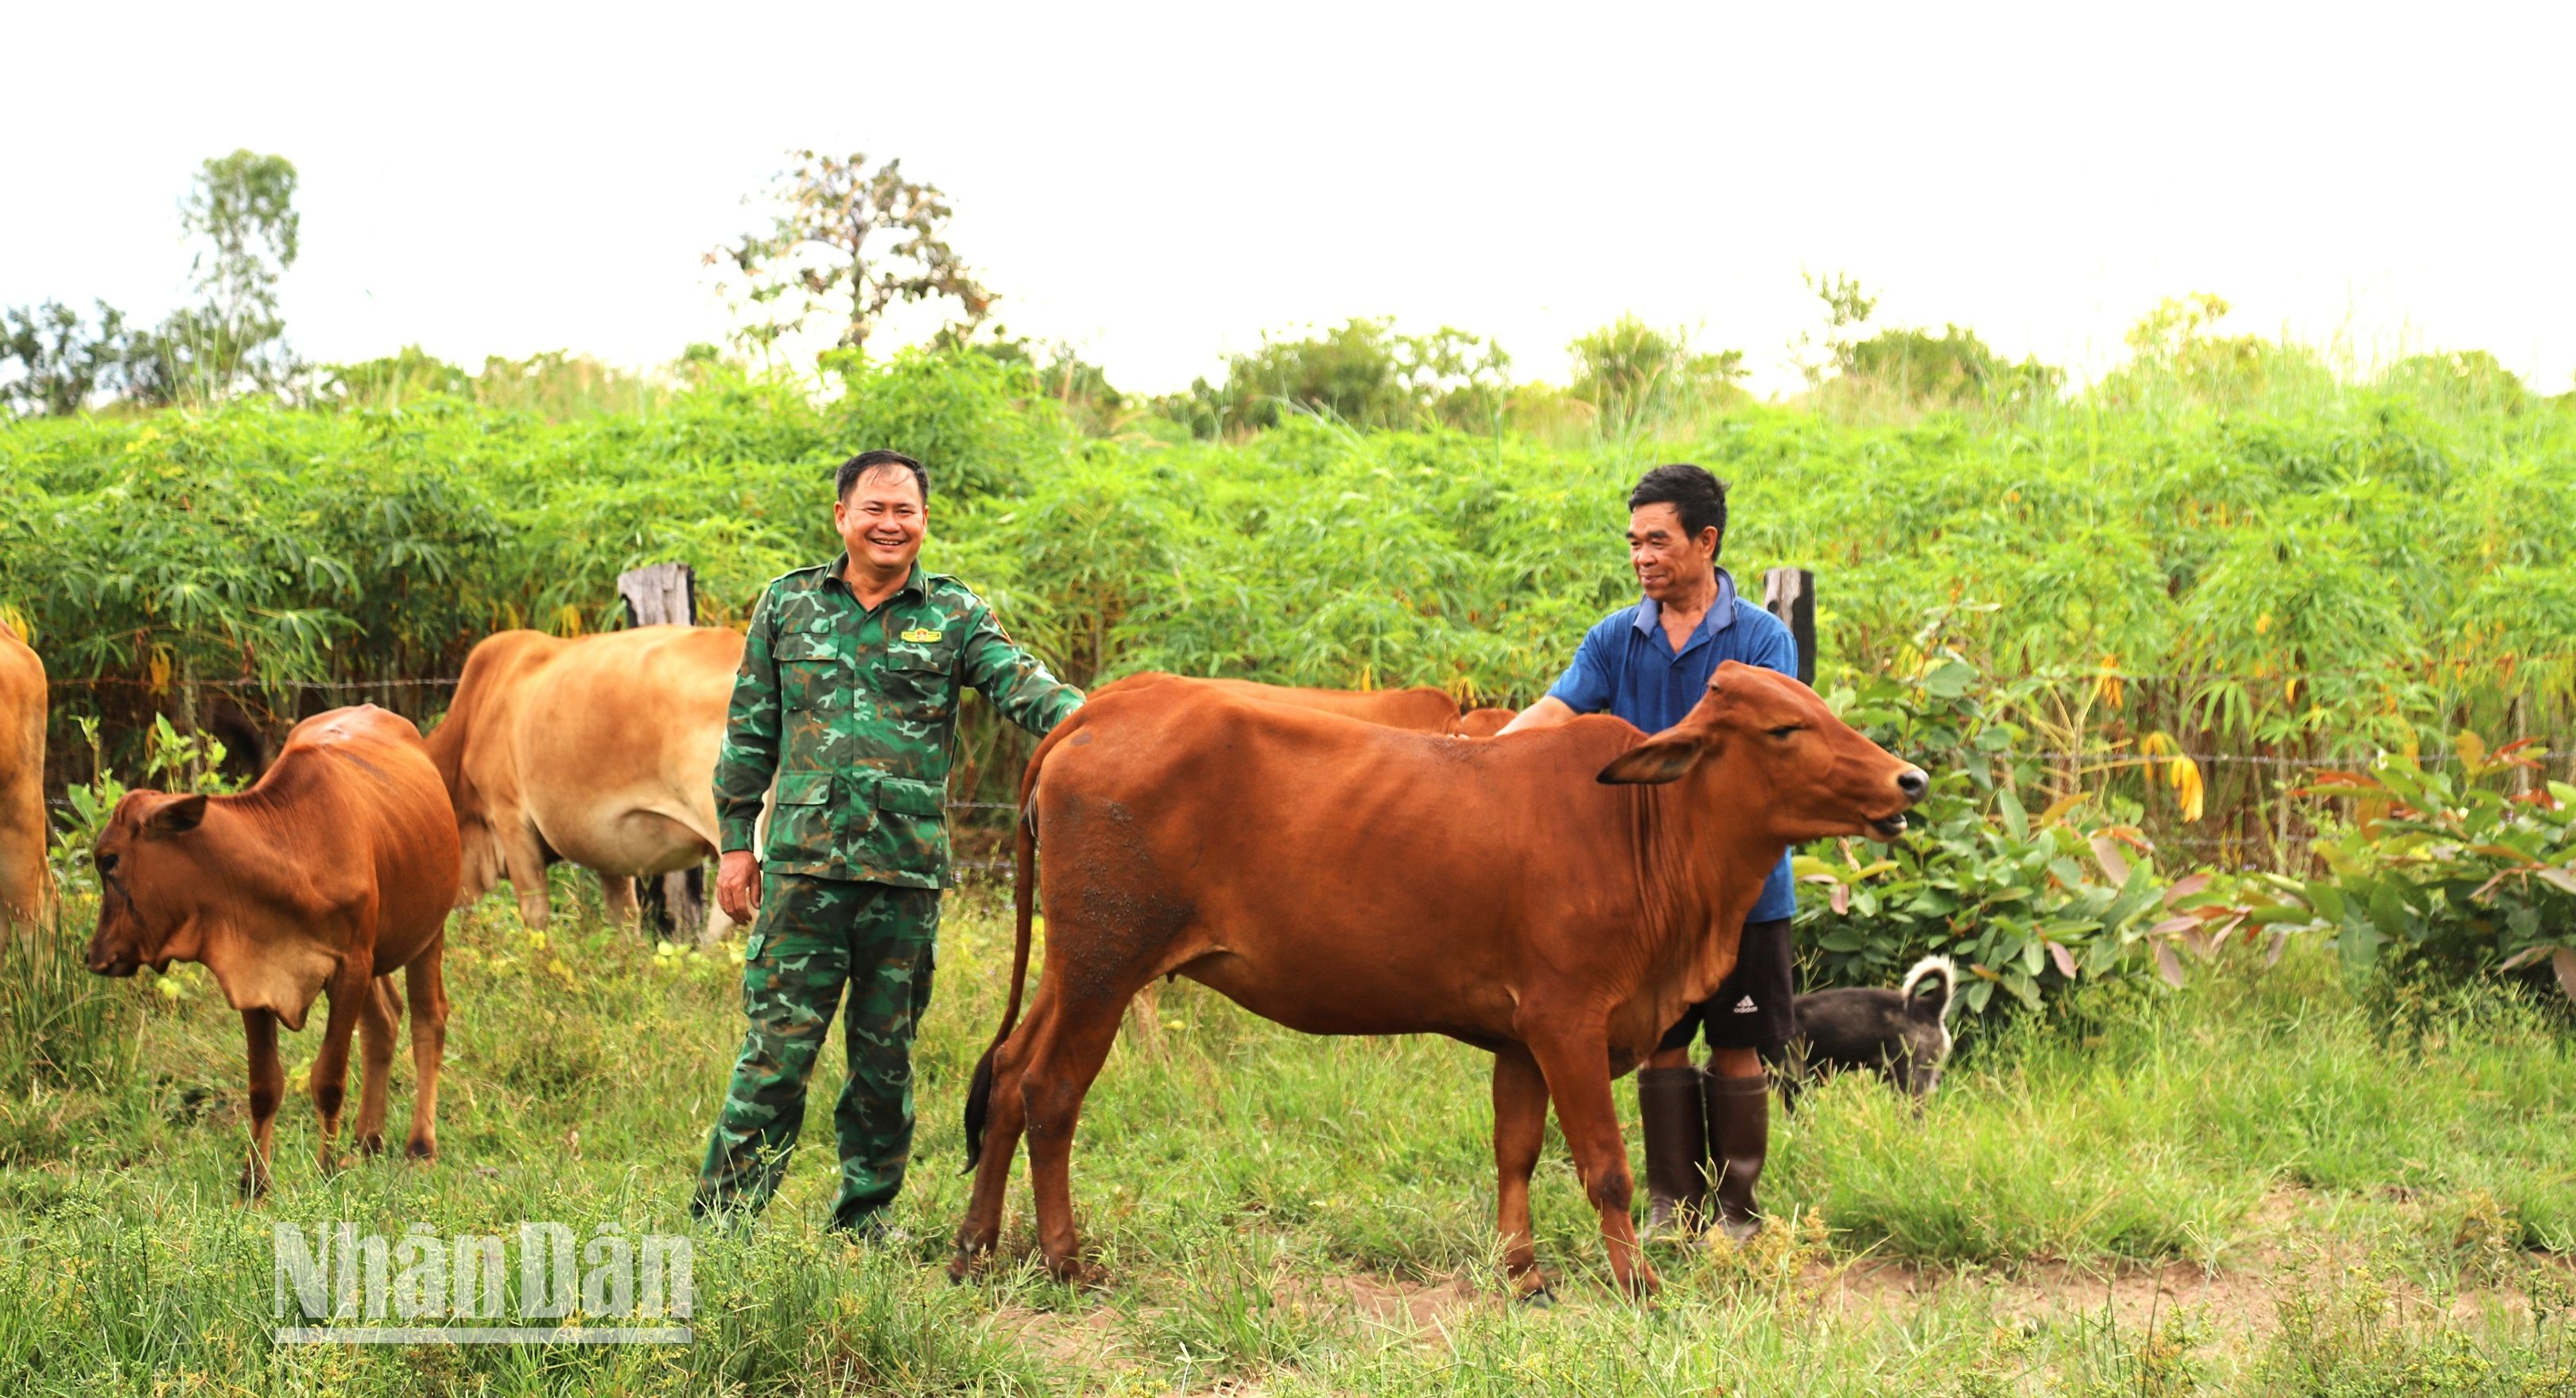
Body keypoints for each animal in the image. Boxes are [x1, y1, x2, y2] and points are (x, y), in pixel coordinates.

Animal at [85, 705, 466, 1199]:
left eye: (109, 860)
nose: (94, 954)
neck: (293, 852)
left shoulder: (350, 965)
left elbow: (329, 1079)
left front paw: (326, 1171)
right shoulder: (254, 976)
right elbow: (264, 1086)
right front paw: (255, 1184)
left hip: (428, 931)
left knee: (427, 1019)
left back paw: (420, 1146)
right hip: (380, 949)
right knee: (384, 1021)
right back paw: (366, 1141)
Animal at [948, 664, 1916, 1297]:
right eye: (1785, 729)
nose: (1908, 779)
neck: (1646, 828)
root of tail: (1102, 709)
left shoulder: (1523, 1040)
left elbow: (1515, 1152)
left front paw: (1522, 1274)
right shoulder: (1567, 1023)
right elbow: (1606, 1167)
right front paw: (1637, 1281)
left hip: (1075, 969)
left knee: (1008, 1078)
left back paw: (973, 1248)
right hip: (1105, 970)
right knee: (1052, 1091)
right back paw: (1065, 1260)